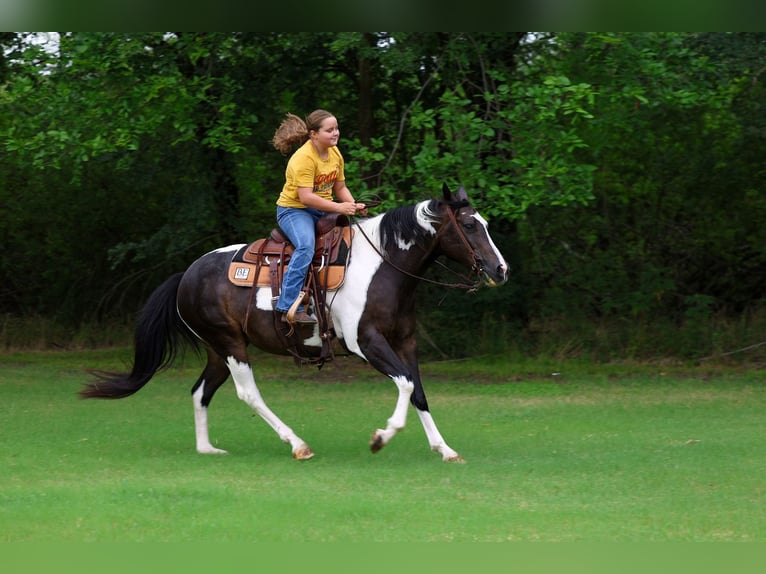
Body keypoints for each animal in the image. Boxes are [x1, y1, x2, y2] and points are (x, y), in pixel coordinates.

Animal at [80, 184, 509, 462]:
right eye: (469, 226)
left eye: (484, 223)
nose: (500, 269)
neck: (383, 265)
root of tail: (186, 274)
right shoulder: (366, 343)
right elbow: (404, 383)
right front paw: (380, 438)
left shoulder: (405, 342)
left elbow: (417, 390)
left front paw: (445, 449)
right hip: (231, 345)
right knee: (248, 394)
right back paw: (297, 444)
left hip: (218, 348)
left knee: (201, 391)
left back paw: (207, 448)